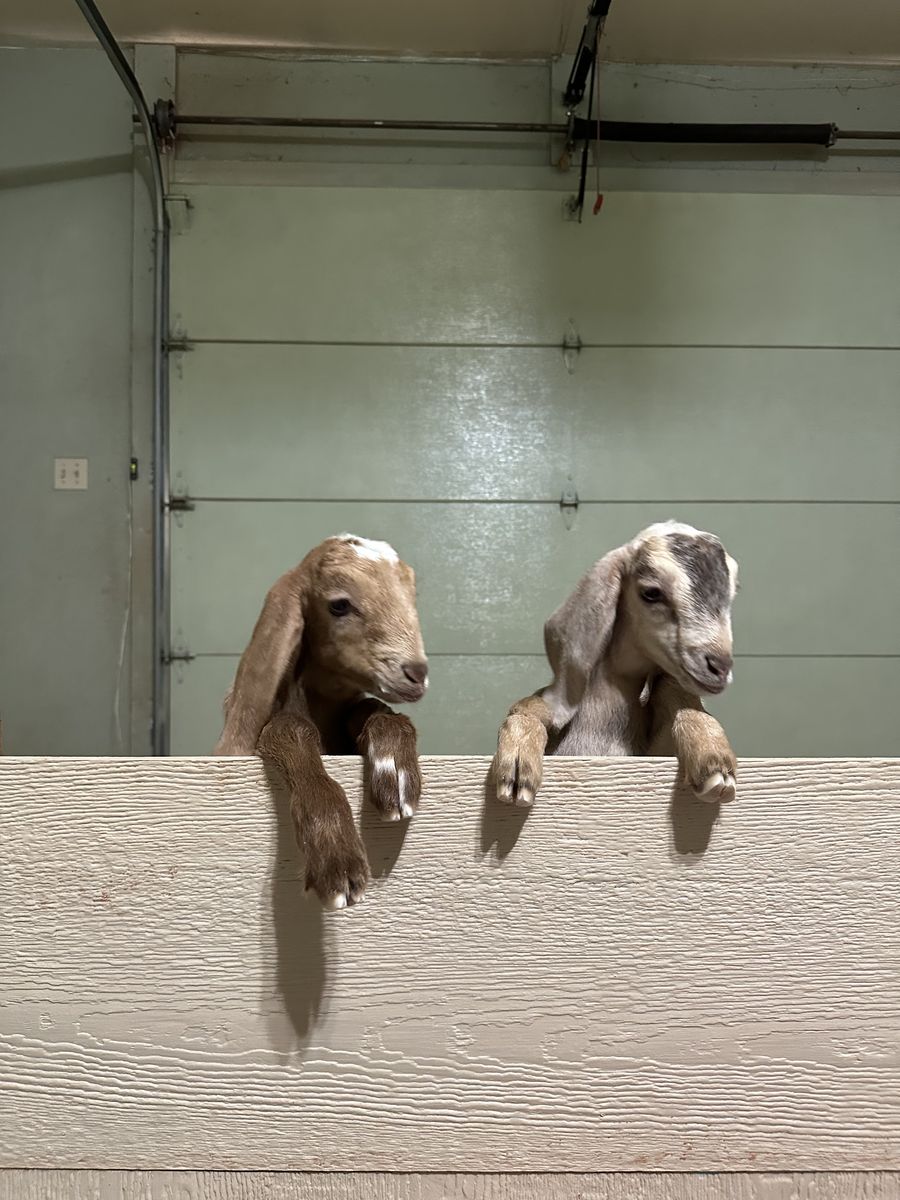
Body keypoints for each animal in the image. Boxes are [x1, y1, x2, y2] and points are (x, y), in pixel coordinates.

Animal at [215, 533, 428, 910]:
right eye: (339, 605)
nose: (417, 673)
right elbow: (289, 727)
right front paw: (338, 860)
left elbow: (370, 707)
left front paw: (395, 770)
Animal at [493, 521, 739, 807]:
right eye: (651, 593)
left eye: (731, 595)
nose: (720, 667)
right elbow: (529, 706)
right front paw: (517, 765)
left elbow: (673, 692)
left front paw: (713, 760)